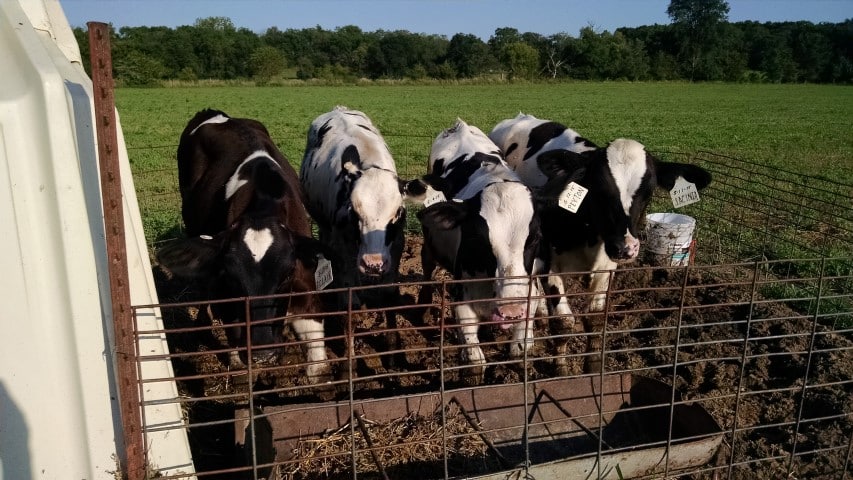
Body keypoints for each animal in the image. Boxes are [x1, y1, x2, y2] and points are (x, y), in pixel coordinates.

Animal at [156, 108, 330, 382]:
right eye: (232, 278)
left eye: (286, 275)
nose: (263, 354)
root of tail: (214, 112)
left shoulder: (306, 285)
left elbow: (319, 368)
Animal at [418, 118, 544, 384]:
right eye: (479, 240)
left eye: (535, 238)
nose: (510, 309)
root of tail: (460, 125)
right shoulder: (462, 298)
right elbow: (475, 362)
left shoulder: (529, 292)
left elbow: (520, 347)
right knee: (427, 263)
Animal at [486, 113, 712, 376]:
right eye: (600, 189)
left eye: (648, 192)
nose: (626, 247)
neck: (587, 229)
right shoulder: (550, 264)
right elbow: (563, 323)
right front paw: (561, 369)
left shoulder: (607, 267)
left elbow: (594, 319)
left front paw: (593, 366)